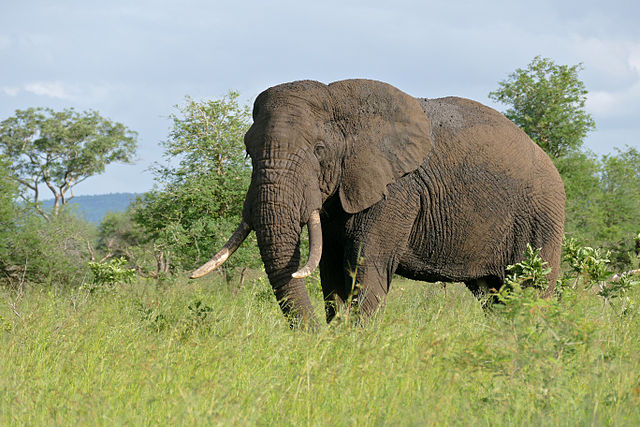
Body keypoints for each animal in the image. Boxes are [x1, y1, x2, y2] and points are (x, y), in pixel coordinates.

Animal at [191, 79, 565, 327]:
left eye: (319, 151)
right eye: (247, 151)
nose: (312, 337)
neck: (340, 103)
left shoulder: (397, 190)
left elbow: (365, 263)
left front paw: (356, 343)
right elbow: (331, 268)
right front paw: (336, 334)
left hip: (541, 216)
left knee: (530, 290)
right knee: (492, 295)